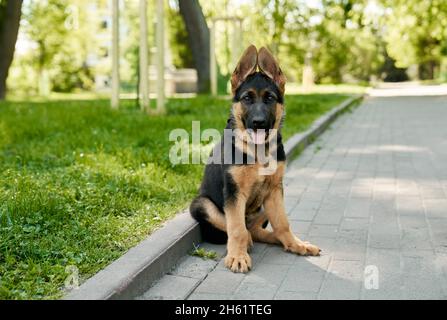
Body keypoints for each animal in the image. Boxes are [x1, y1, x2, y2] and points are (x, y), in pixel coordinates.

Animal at [191, 44, 320, 272]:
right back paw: (246, 243)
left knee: (259, 230)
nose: (259, 122)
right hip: (202, 204)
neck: (258, 150)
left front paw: (294, 243)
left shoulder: (275, 190)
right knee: (240, 228)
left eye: (269, 98)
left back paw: (290, 241)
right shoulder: (233, 193)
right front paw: (238, 256)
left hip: (265, 204)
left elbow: (283, 223)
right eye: (247, 98)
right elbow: (235, 228)